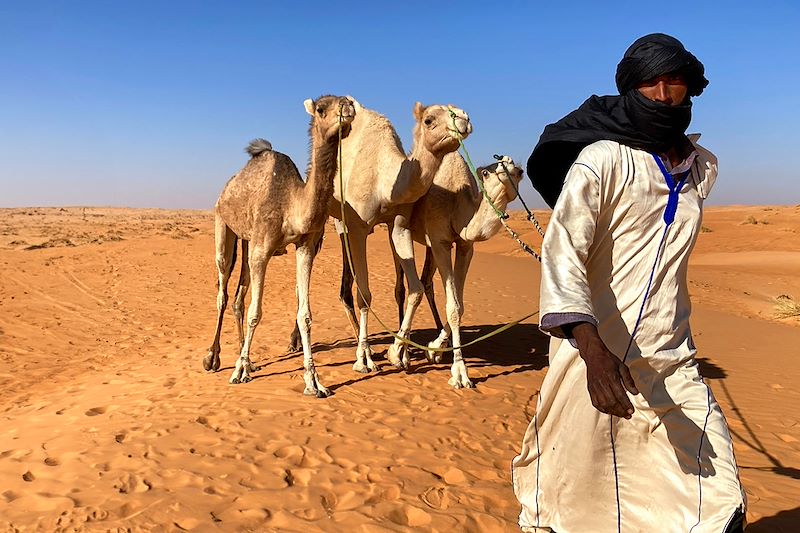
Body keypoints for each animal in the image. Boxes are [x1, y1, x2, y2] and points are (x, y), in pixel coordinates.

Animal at [205, 94, 354, 394]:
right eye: (321, 109)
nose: (348, 106)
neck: (292, 204)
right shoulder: (262, 250)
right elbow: (256, 312)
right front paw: (237, 372)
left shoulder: (306, 246)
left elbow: (304, 314)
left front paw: (314, 381)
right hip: (223, 226)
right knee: (223, 292)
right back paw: (214, 358)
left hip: (247, 241)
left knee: (238, 297)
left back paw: (247, 359)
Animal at [324, 97, 476, 372]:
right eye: (429, 119)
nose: (463, 118)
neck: (384, 178)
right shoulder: (358, 228)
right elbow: (365, 295)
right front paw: (365, 360)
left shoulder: (399, 225)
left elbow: (414, 289)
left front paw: (399, 354)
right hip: (339, 223)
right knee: (345, 288)